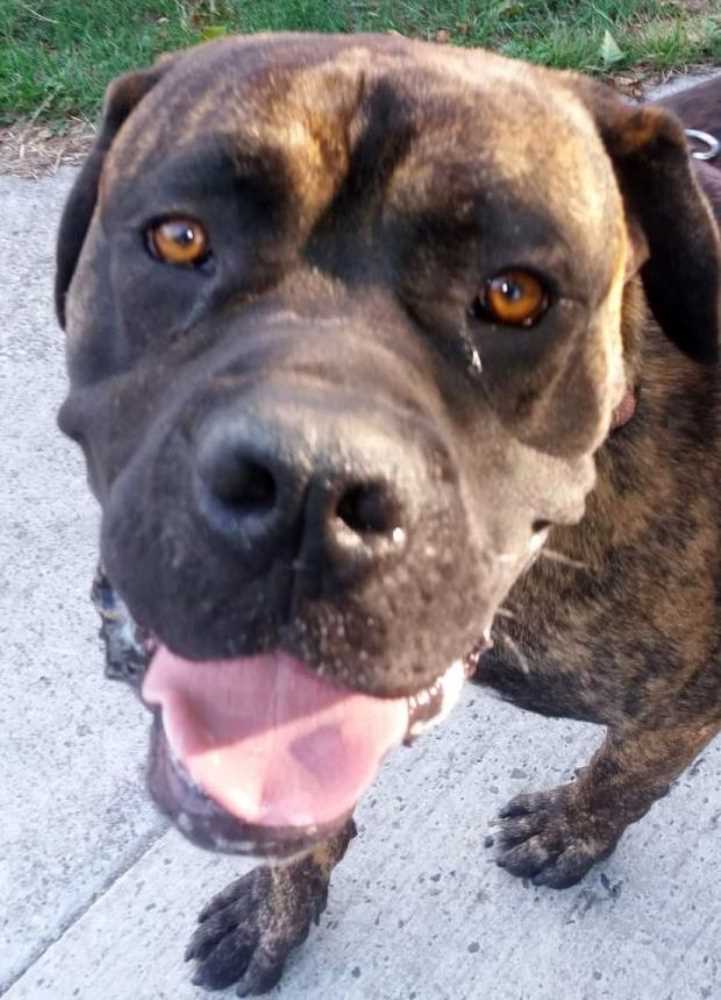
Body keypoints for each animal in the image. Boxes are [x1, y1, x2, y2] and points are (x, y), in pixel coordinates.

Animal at [55, 34, 721, 995]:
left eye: (514, 293)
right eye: (180, 238)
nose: (307, 481)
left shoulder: (686, 700)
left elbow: (626, 774)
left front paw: (571, 830)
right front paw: (275, 911)